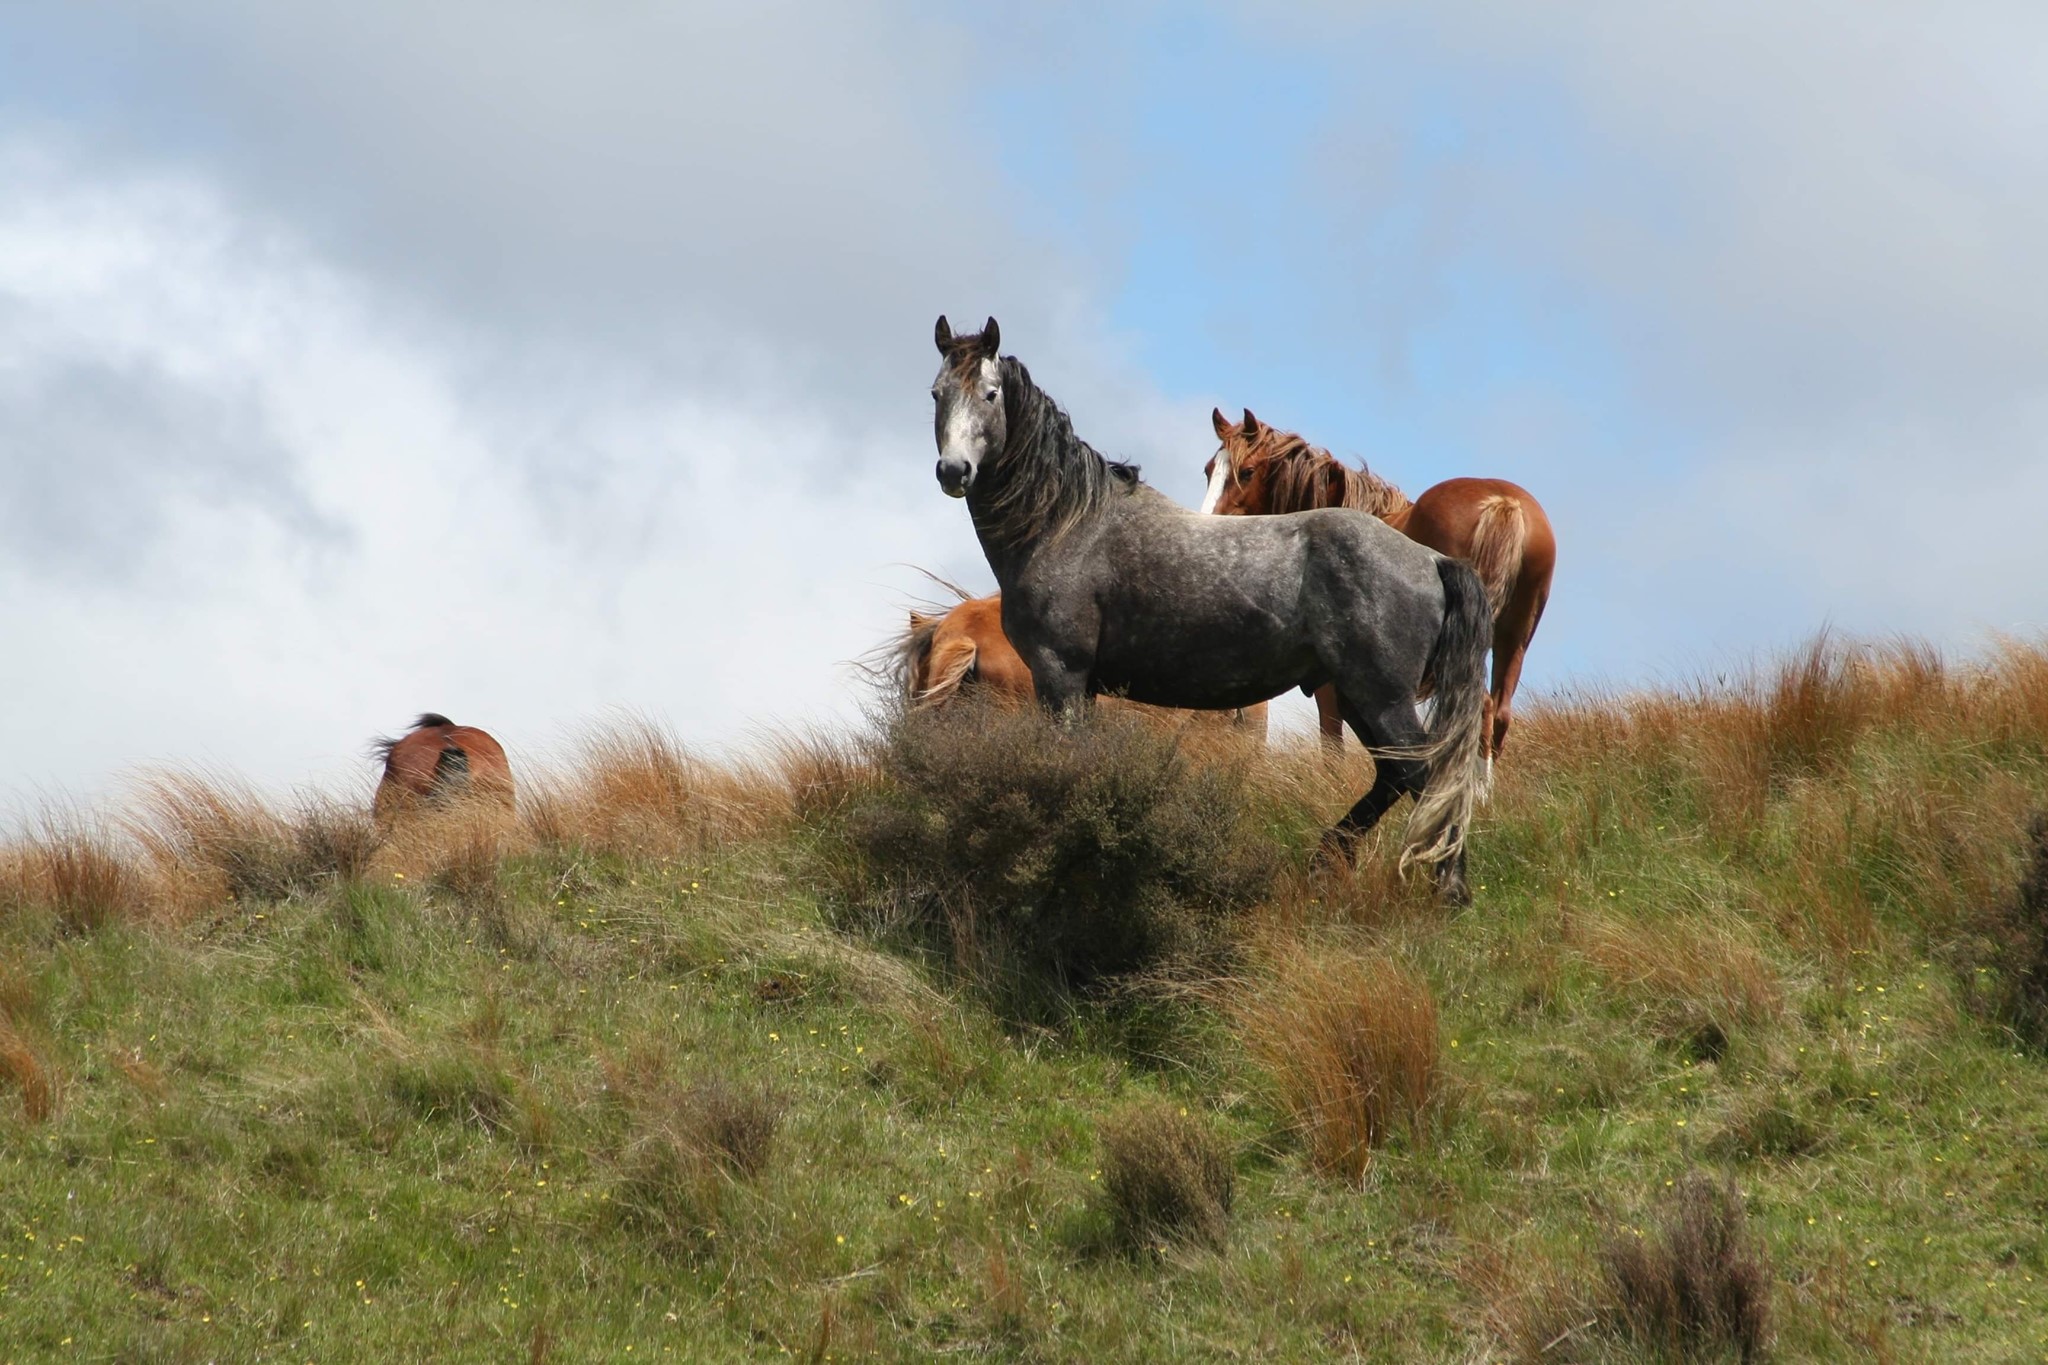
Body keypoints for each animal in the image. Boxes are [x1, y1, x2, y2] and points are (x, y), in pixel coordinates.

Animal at [930, 316, 1490, 899]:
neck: (1069, 525)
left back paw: (1447, 891)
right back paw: (1330, 858)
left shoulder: (1060, 673)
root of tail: (1431, 560)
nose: (953, 471)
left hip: (1382, 698)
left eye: (990, 394)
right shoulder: (1081, 686)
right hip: (1358, 696)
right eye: (937, 394)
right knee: (1395, 776)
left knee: (1429, 780)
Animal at [1201, 408, 1555, 768]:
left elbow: (1333, 745)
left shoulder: (1331, 685)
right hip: (1515, 639)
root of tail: (1503, 503)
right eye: (1209, 470)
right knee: (1498, 714)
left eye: (1246, 472)